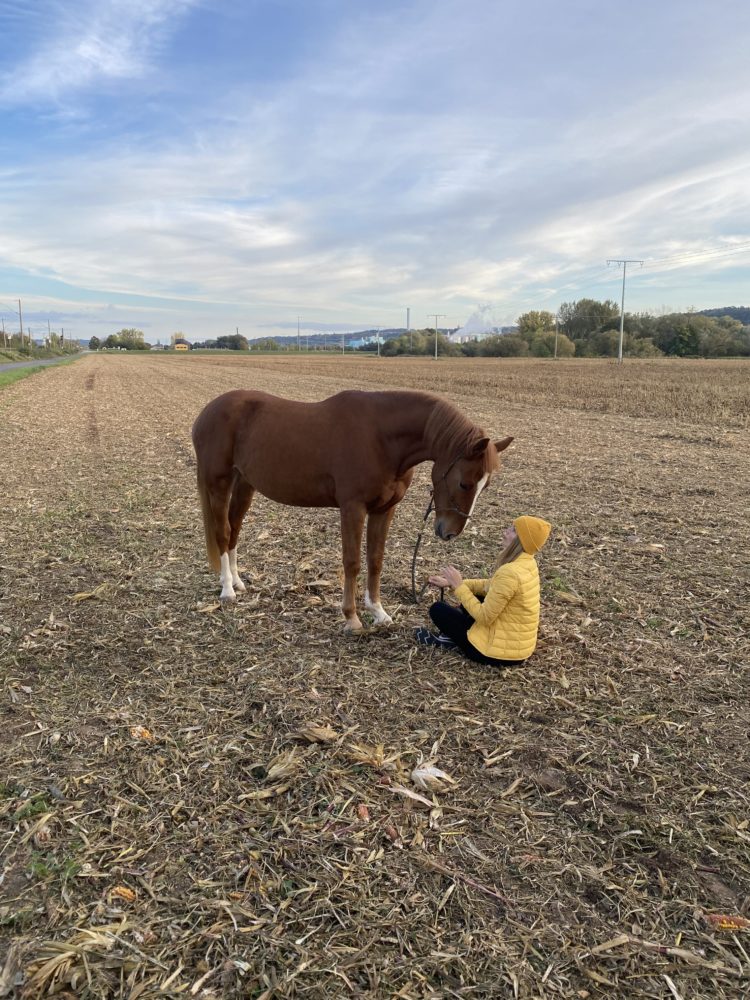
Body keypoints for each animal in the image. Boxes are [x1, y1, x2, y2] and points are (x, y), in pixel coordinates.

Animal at [191, 388, 516, 628]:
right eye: (465, 483)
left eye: (485, 485)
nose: (449, 532)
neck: (382, 437)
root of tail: (208, 411)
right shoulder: (352, 508)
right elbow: (352, 562)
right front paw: (351, 617)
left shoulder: (384, 510)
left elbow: (375, 560)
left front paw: (378, 612)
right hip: (218, 483)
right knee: (222, 532)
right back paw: (227, 590)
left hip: (245, 484)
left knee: (234, 529)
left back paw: (237, 581)